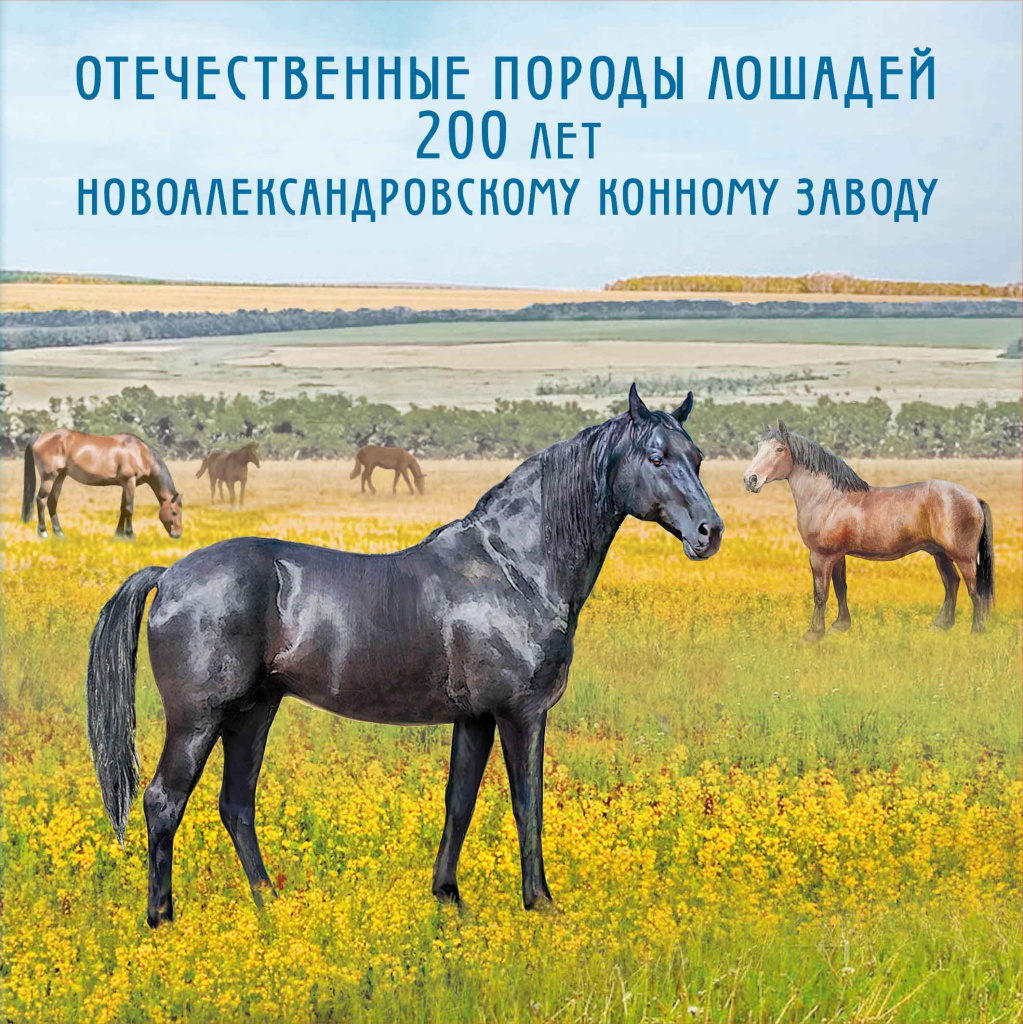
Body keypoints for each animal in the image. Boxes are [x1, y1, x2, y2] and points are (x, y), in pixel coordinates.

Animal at [22, 430, 183, 540]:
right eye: (174, 512)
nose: (177, 535)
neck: (139, 452)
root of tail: (40, 437)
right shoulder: (130, 482)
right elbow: (129, 508)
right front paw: (130, 534)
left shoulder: (125, 485)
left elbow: (123, 508)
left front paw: (119, 534)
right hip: (49, 478)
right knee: (41, 500)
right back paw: (43, 532)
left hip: (60, 477)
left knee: (52, 502)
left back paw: (59, 533)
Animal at [86, 385, 723, 927]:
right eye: (656, 457)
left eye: (698, 456)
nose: (708, 531)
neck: (513, 568)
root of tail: (169, 573)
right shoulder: (520, 713)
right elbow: (528, 804)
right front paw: (540, 903)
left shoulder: (475, 718)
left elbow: (459, 802)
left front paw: (449, 897)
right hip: (198, 720)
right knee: (164, 802)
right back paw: (163, 921)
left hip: (252, 711)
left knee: (236, 805)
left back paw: (273, 906)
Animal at [743, 422, 994, 639]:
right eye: (758, 447)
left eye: (779, 449)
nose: (750, 479)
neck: (829, 498)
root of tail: (973, 498)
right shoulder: (838, 556)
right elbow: (840, 588)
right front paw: (840, 626)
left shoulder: (821, 556)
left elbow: (821, 594)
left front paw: (813, 634)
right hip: (939, 553)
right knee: (952, 583)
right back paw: (941, 625)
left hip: (963, 557)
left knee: (974, 590)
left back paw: (976, 631)